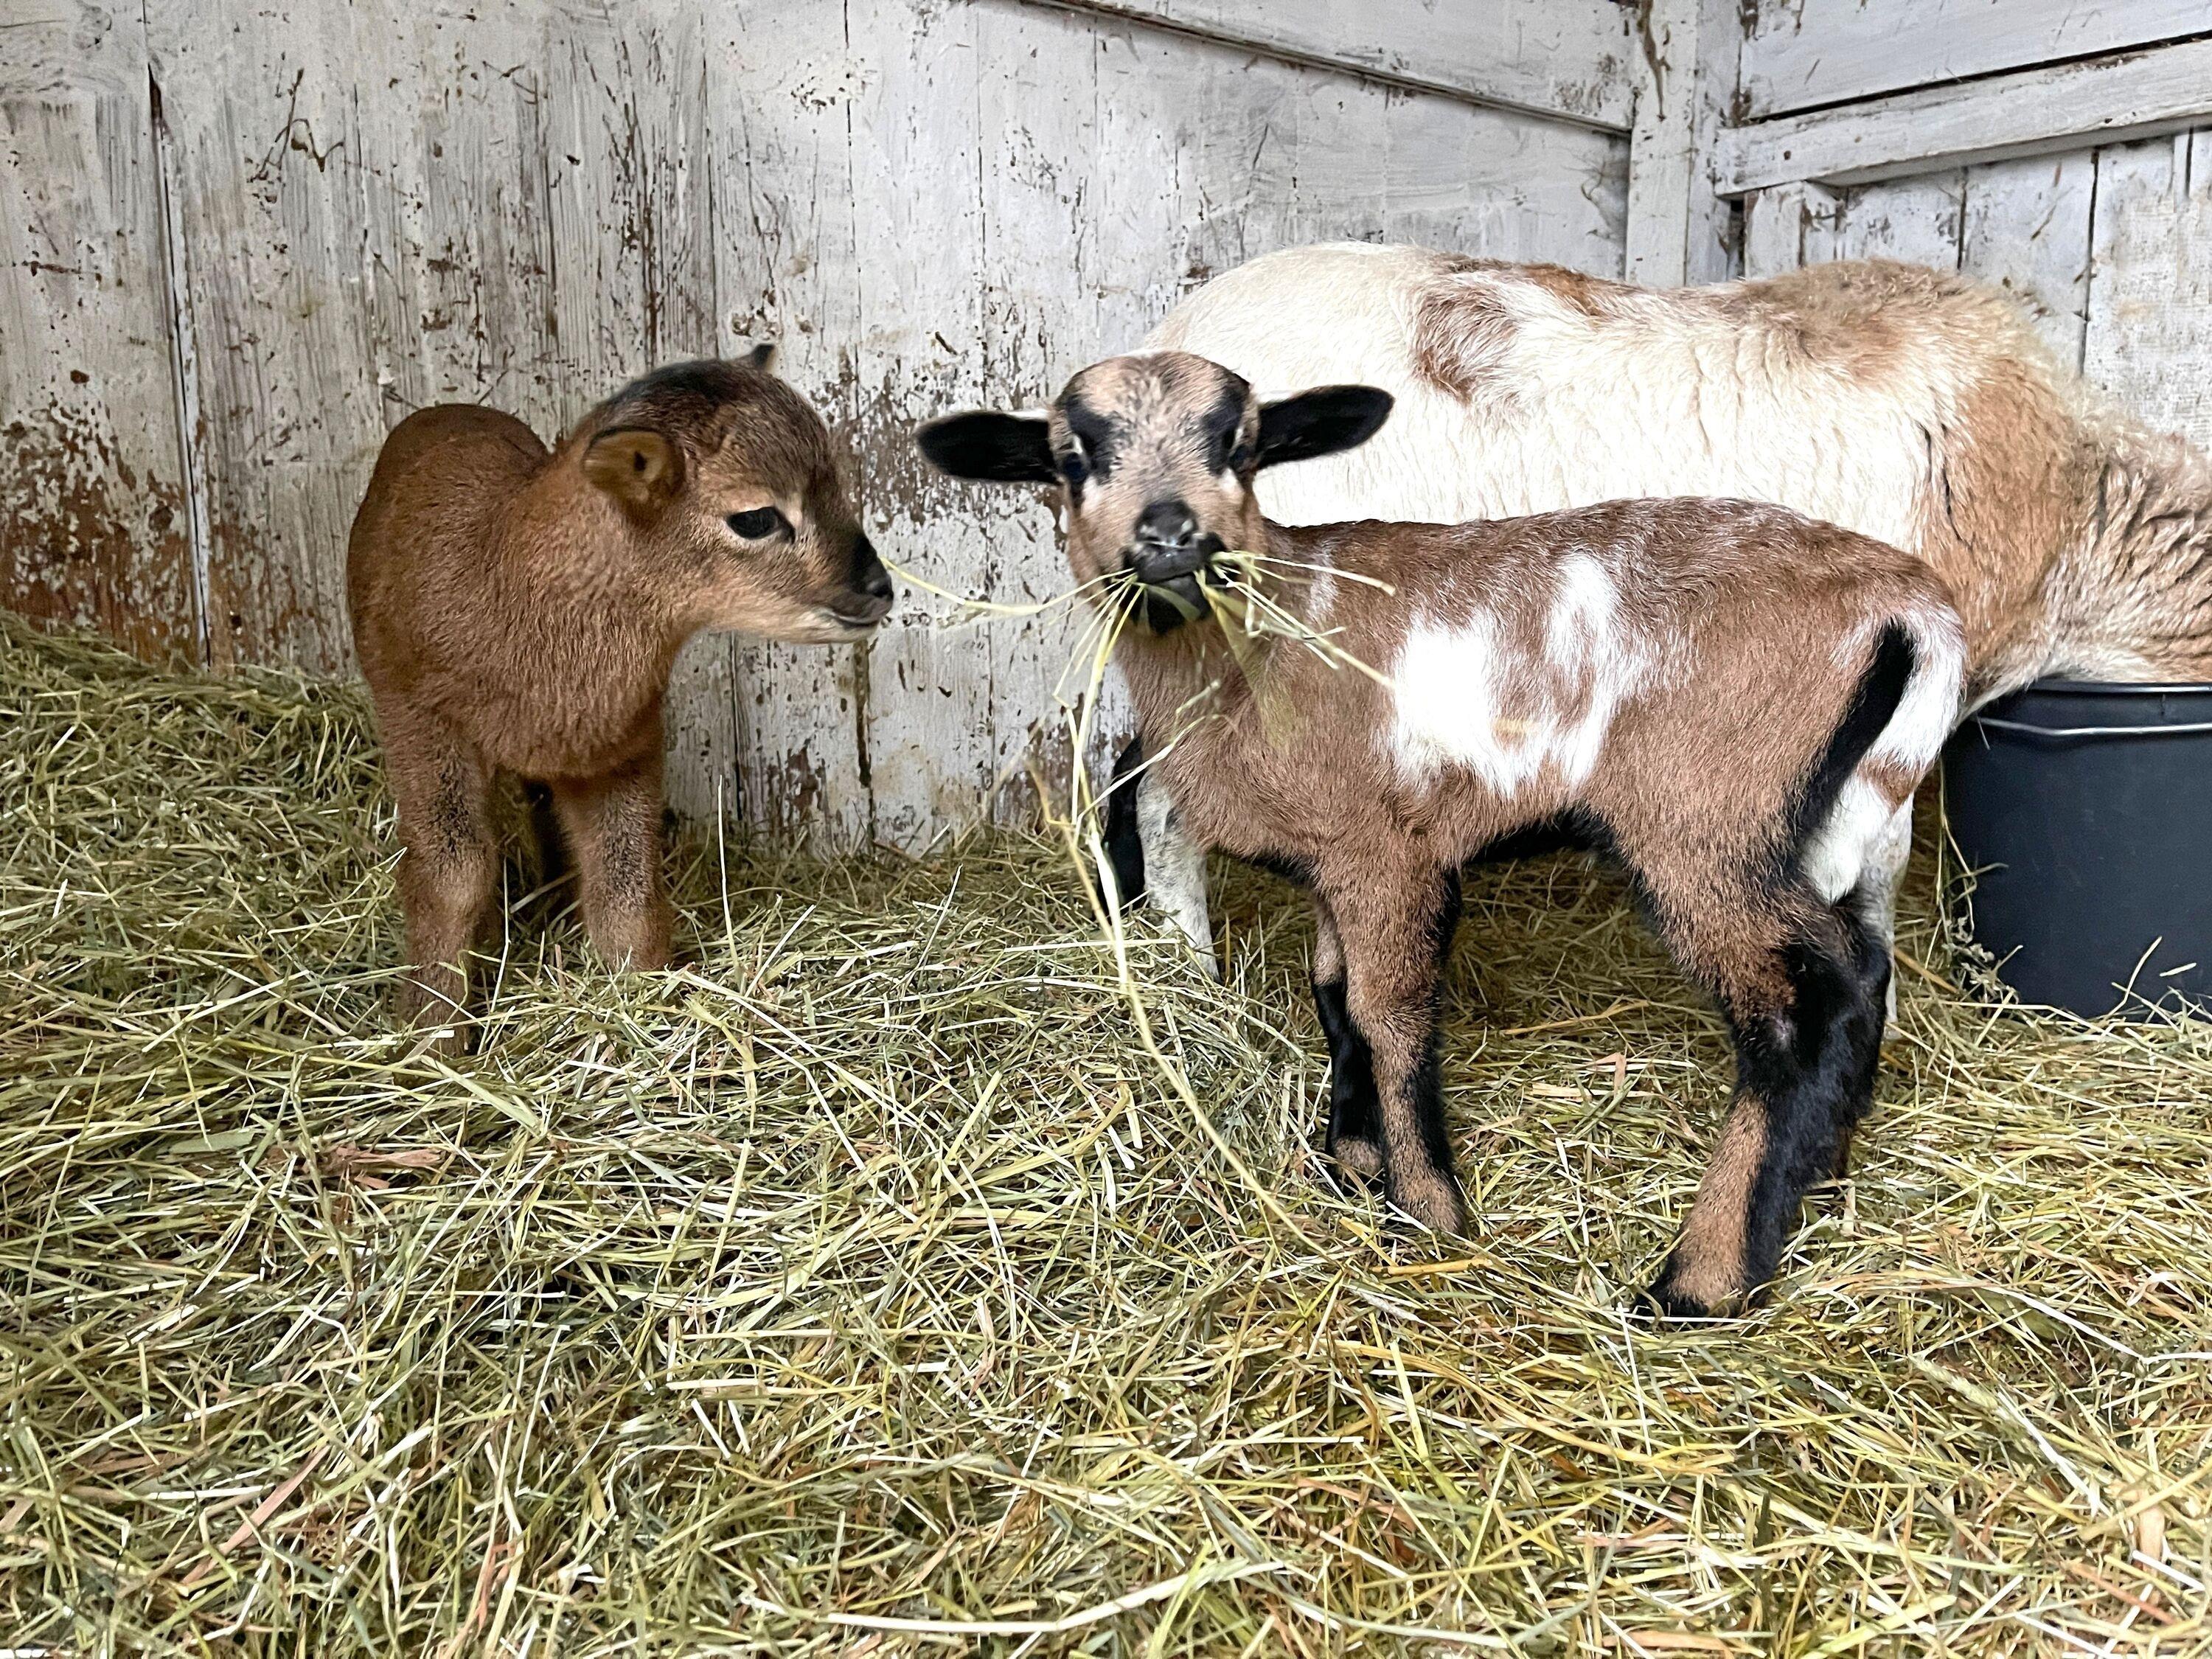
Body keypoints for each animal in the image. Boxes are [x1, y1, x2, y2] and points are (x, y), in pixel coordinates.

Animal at [347, 350, 893, 1049]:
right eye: (755, 517)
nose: (879, 589)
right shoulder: (418, 717)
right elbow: (453, 874)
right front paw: (432, 1031)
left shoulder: (623, 743)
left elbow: (626, 884)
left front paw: (643, 999)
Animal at [915, 349, 1966, 1316]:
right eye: (1073, 455)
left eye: (1240, 445)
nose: (1172, 534)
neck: (1266, 640)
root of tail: (1914, 608)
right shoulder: (1337, 854)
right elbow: (1334, 998)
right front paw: (1348, 1159)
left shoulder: (1390, 857)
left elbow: (1389, 1015)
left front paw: (1427, 1211)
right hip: (1838, 819)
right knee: (1869, 973)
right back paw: (1817, 1177)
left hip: (1701, 818)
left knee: (1809, 1002)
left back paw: (1702, 1279)